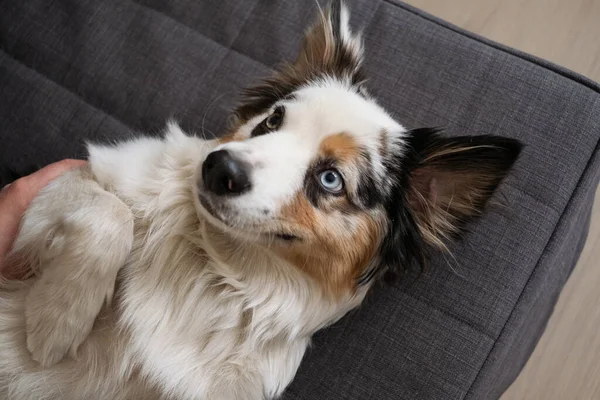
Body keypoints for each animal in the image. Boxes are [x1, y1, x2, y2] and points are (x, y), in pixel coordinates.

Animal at [0, 1, 520, 398]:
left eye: (331, 179)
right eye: (272, 120)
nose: (218, 168)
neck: (215, 266)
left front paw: (52, 322)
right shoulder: (59, 185)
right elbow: (111, 211)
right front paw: (57, 320)